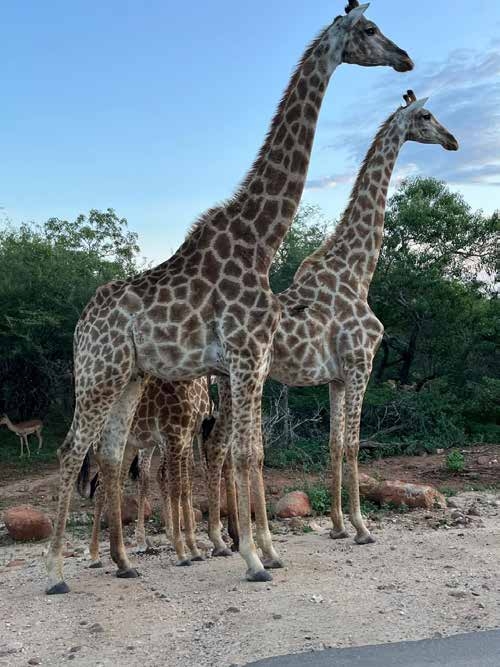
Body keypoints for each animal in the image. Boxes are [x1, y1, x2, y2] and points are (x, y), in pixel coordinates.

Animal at [80, 376, 211, 568]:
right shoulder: (173, 438)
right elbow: (175, 487)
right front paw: (181, 549)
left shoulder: (187, 438)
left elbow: (185, 485)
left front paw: (193, 548)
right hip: (105, 446)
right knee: (100, 491)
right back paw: (96, 554)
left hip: (128, 446)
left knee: (117, 488)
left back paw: (121, 552)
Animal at [203, 91, 459, 553]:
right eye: (427, 115)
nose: (453, 141)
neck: (357, 271)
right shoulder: (361, 365)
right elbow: (355, 445)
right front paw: (362, 526)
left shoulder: (338, 378)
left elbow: (335, 444)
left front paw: (339, 524)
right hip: (238, 383)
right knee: (221, 449)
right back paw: (226, 540)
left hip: (231, 385)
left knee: (222, 449)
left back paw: (229, 538)